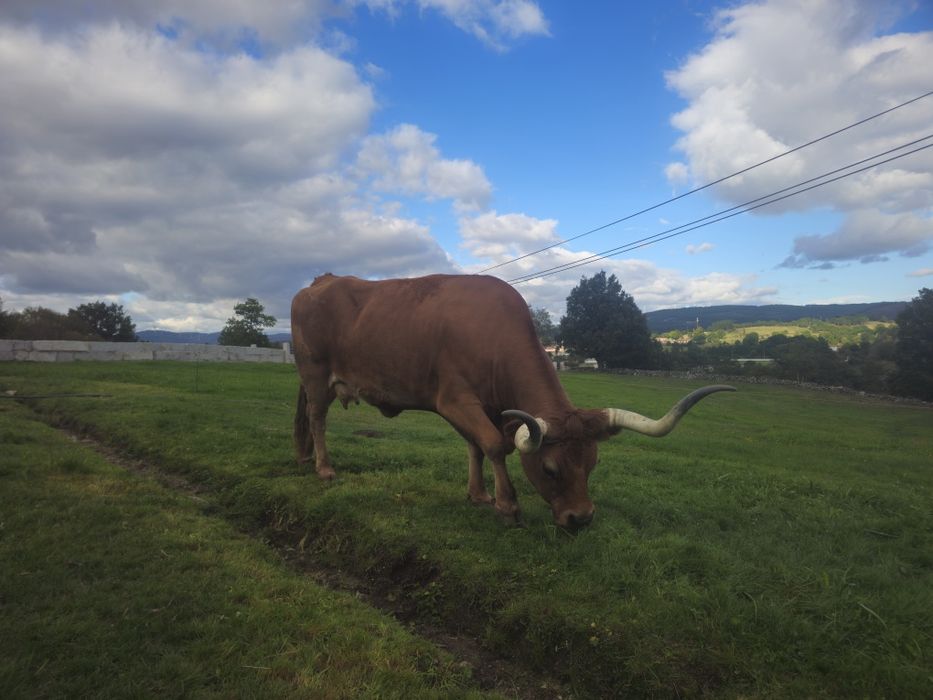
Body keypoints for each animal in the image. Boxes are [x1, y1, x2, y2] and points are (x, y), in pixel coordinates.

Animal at [291, 273, 733, 529]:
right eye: (551, 469)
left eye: (593, 463)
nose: (581, 518)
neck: (491, 333)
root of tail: (319, 282)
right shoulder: (455, 399)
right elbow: (493, 445)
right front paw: (506, 504)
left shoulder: (483, 407)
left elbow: (475, 446)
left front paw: (478, 494)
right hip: (316, 375)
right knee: (317, 417)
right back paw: (324, 468)